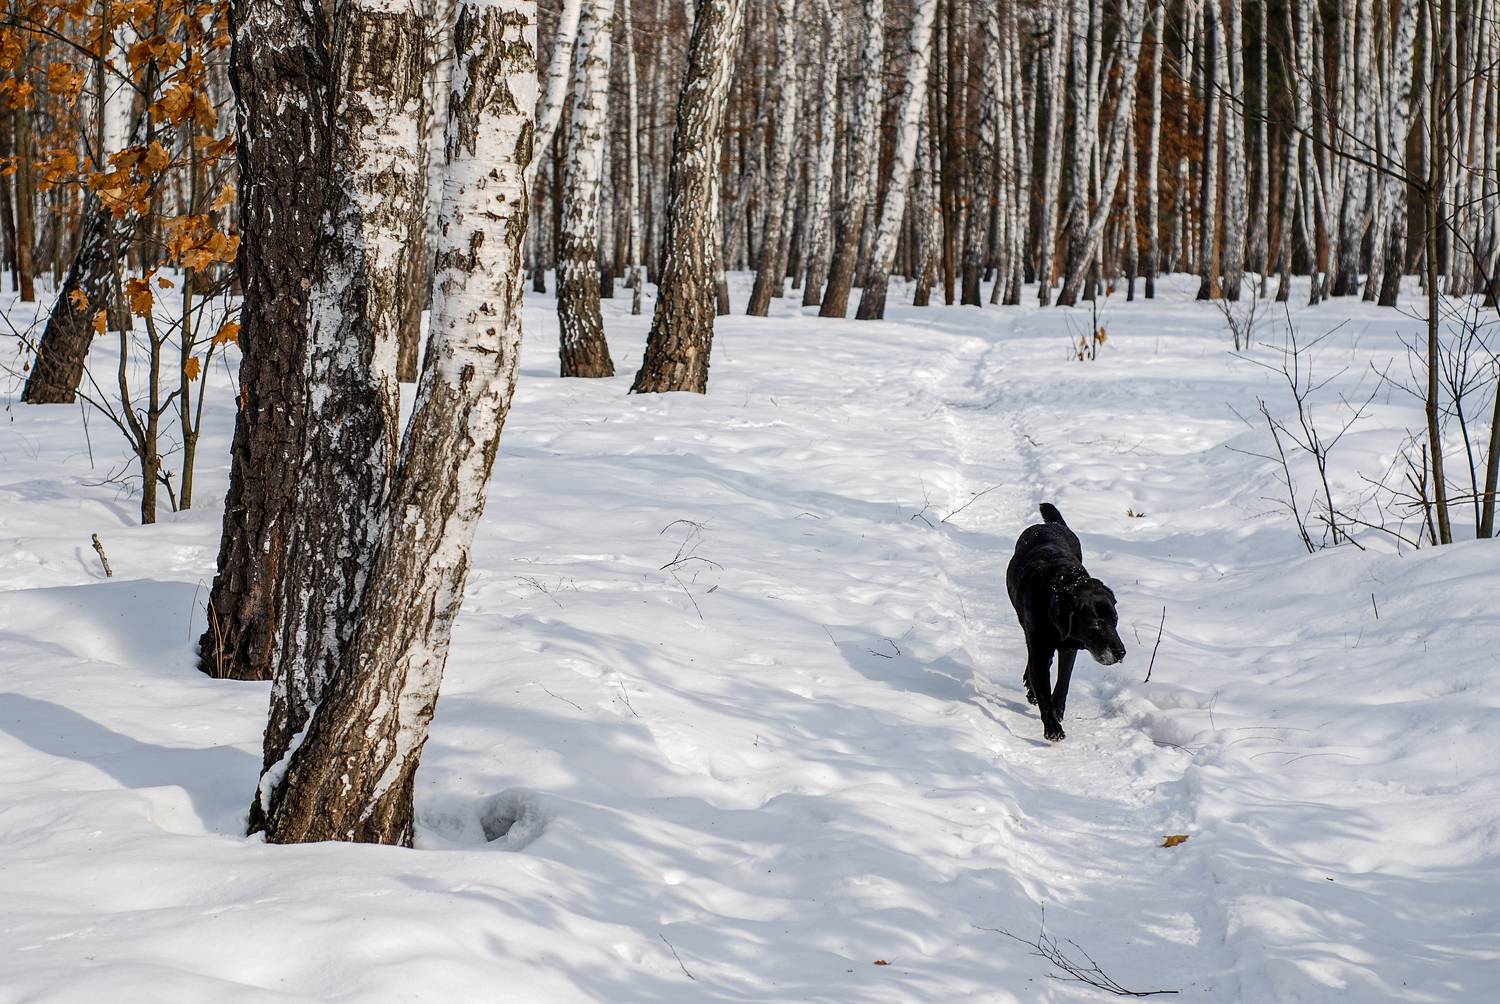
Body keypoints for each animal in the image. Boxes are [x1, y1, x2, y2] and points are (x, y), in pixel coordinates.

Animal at [1005, 503, 1126, 742]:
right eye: (1096, 624)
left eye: (1115, 621)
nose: (1121, 653)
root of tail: (1052, 524)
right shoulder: (1040, 647)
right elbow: (1043, 688)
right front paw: (1053, 728)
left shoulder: (1069, 647)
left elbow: (1063, 682)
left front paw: (1057, 710)